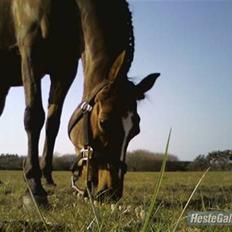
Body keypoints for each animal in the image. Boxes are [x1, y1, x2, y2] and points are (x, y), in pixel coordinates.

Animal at [0, 0, 160, 203]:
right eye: (103, 122)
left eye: (136, 130)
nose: (111, 193)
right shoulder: (30, 54)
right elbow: (34, 117)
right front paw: (34, 186)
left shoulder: (64, 70)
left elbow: (52, 124)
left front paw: (47, 179)